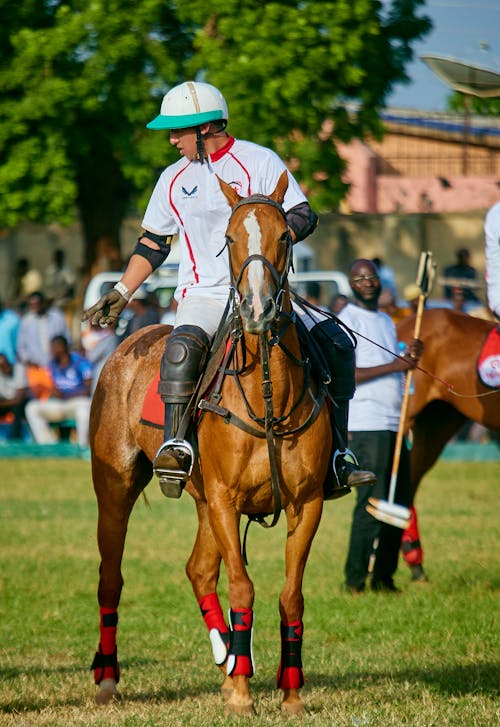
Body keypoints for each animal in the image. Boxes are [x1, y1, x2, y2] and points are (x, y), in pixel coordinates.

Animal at [90, 173, 332, 720]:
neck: (268, 395)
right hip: (115, 486)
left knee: (198, 570)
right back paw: (109, 678)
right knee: (111, 577)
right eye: (229, 239)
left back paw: (227, 657)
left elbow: (291, 595)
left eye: (285, 236)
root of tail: (129, 341)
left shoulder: (306, 503)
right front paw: (243, 693)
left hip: (201, 500)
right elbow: (242, 585)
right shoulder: (225, 498)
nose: (258, 310)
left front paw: (289, 692)